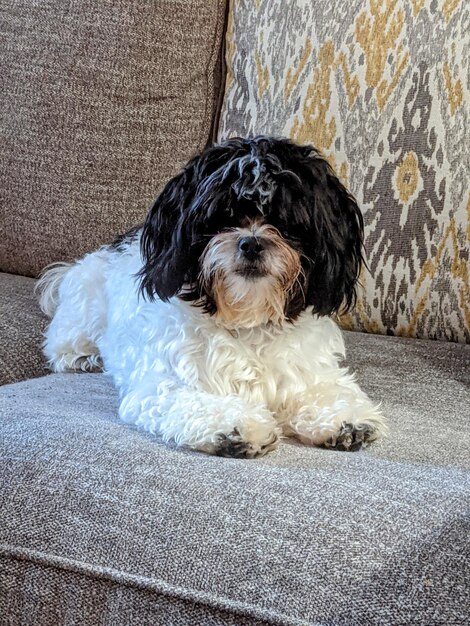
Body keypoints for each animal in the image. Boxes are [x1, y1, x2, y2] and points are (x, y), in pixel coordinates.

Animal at [38, 136, 388, 456]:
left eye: (287, 222)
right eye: (223, 217)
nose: (251, 243)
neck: (248, 319)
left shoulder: (306, 370)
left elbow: (328, 389)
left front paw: (345, 419)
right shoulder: (164, 384)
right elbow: (198, 402)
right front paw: (237, 426)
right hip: (83, 314)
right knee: (63, 343)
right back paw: (84, 358)